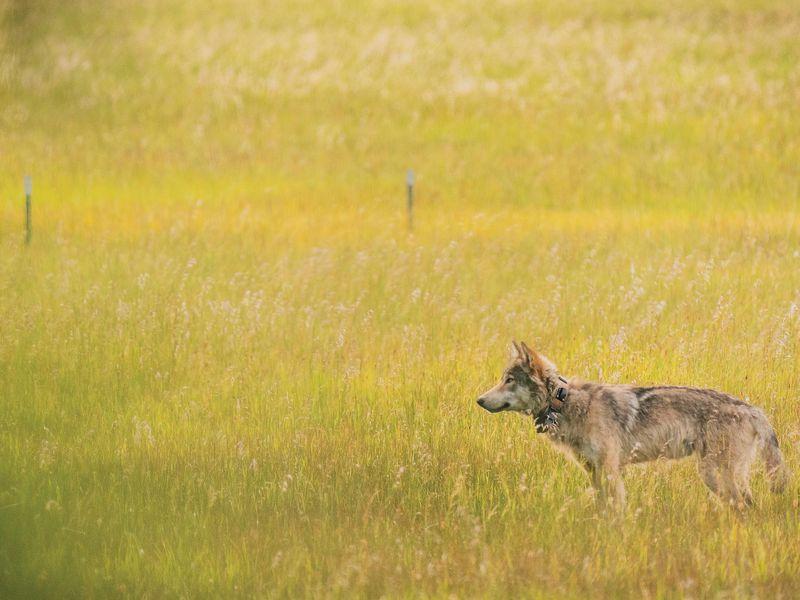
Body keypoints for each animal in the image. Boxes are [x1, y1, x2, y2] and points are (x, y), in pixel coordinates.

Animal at [478, 342, 792, 510]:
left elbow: (616, 511)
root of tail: (752, 409)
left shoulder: (610, 470)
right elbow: (602, 508)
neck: (565, 402)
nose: (479, 400)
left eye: (509, 380)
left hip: (713, 474)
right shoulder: (594, 472)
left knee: (745, 505)